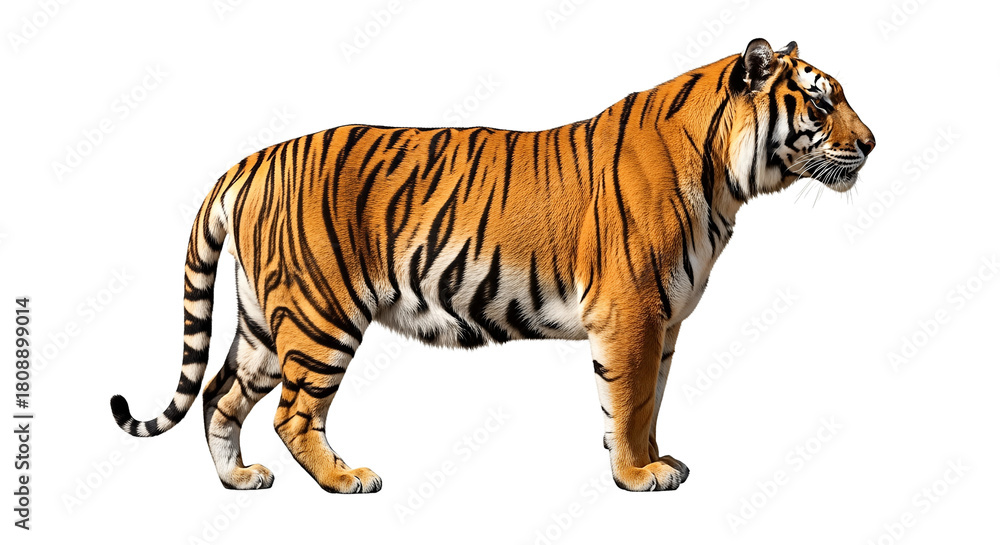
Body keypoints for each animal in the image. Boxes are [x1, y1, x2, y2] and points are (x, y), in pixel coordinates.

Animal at [110, 38, 874, 493]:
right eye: (820, 100)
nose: (871, 142)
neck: (725, 180)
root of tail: (252, 158)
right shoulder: (632, 313)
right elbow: (628, 403)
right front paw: (637, 474)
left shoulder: (665, 322)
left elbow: (651, 400)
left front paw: (662, 459)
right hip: (319, 315)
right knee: (293, 413)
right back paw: (347, 478)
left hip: (267, 324)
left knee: (220, 395)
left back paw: (239, 480)